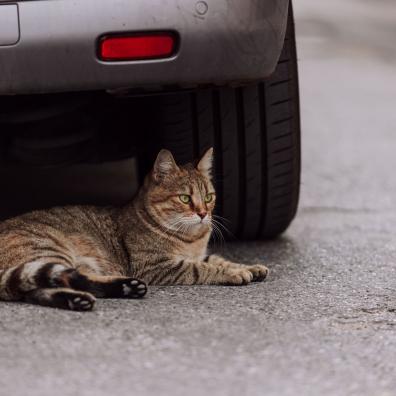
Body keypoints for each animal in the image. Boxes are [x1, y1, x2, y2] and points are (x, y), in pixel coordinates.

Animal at [0, 148, 270, 310]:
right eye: (184, 198)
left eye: (209, 197)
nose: (204, 214)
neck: (190, 239)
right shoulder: (158, 267)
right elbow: (204, 268)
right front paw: (235, 273)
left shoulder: (198, 254)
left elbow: (219, 259)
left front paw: (249, 267)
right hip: (50, 249)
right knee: (56, 281)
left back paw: (123, 288)